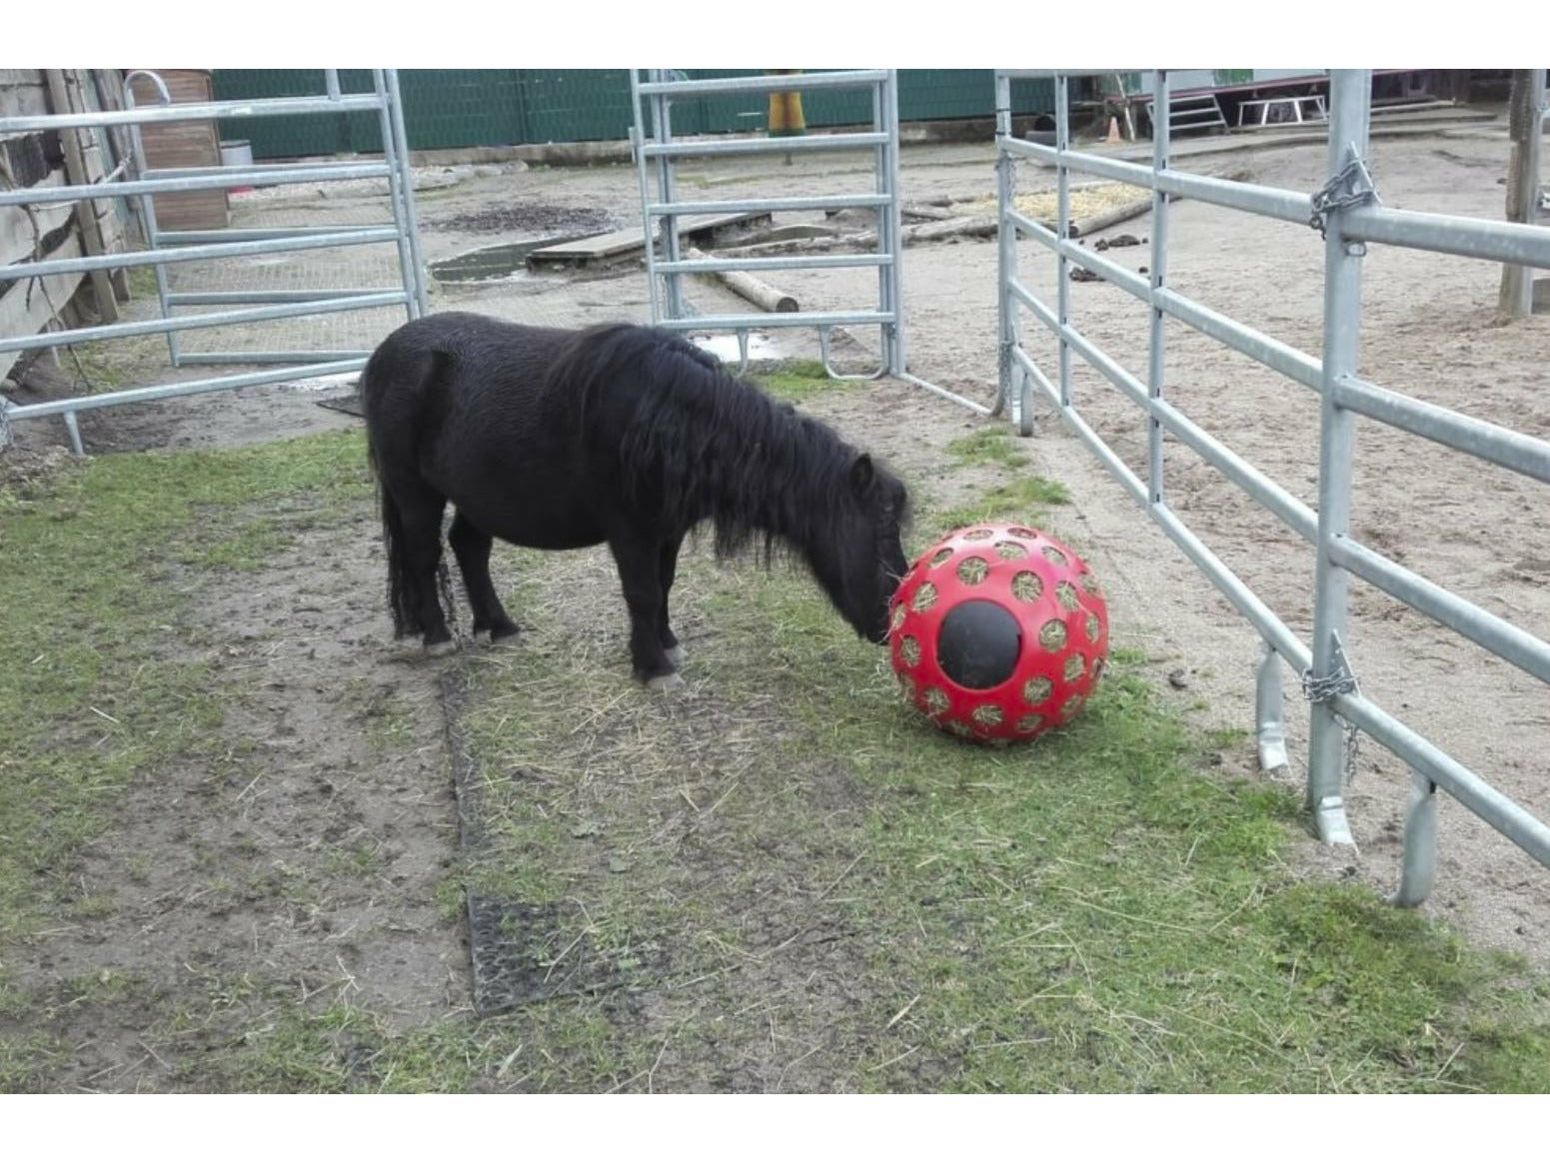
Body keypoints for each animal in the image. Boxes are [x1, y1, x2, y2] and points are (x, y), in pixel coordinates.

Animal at [359, 314, 905, 688]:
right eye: (881, 530)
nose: (890, 619)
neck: (668, 420)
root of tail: (385, 355)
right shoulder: (631, 532)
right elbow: (641, 592)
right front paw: (653, 668)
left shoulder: (668, 531)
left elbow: (663, 586)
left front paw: (667, 645)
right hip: (414, 491)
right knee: (424, 555)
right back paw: (438, 638)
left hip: (478, 497)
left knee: (469, 548)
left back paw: (499, 627)